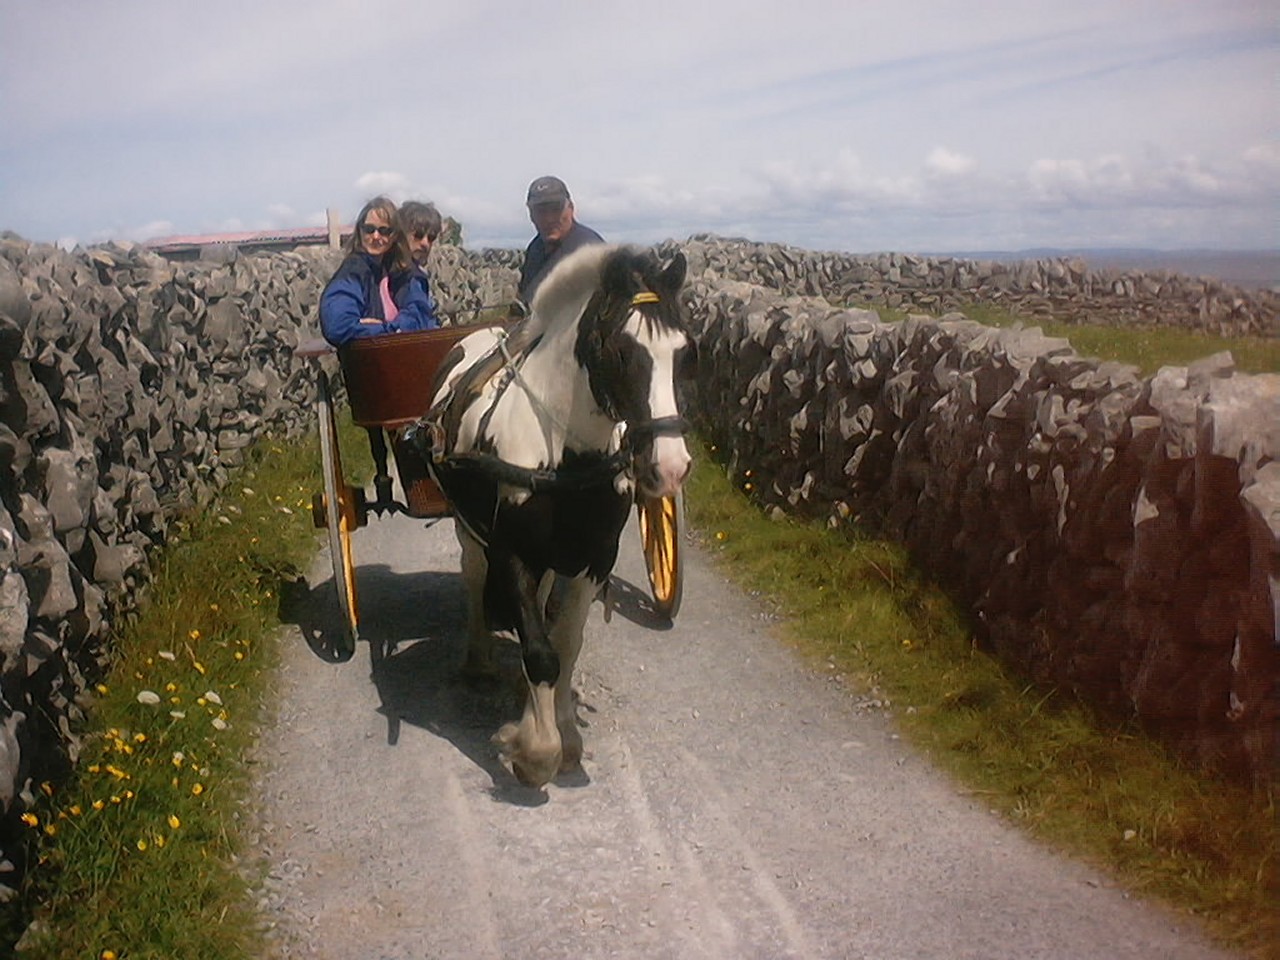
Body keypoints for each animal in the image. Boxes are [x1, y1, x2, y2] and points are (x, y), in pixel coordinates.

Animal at [419, 241, 696, 788]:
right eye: (621, 351)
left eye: (681, 351)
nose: (671, 467)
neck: (567, 454)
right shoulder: (511, 552)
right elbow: (540, 652)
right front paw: (536, 751)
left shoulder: (595, 558)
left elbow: (565, 643)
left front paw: (560, 734)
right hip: (469, 527)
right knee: (473, 574)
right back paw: (480, 661)